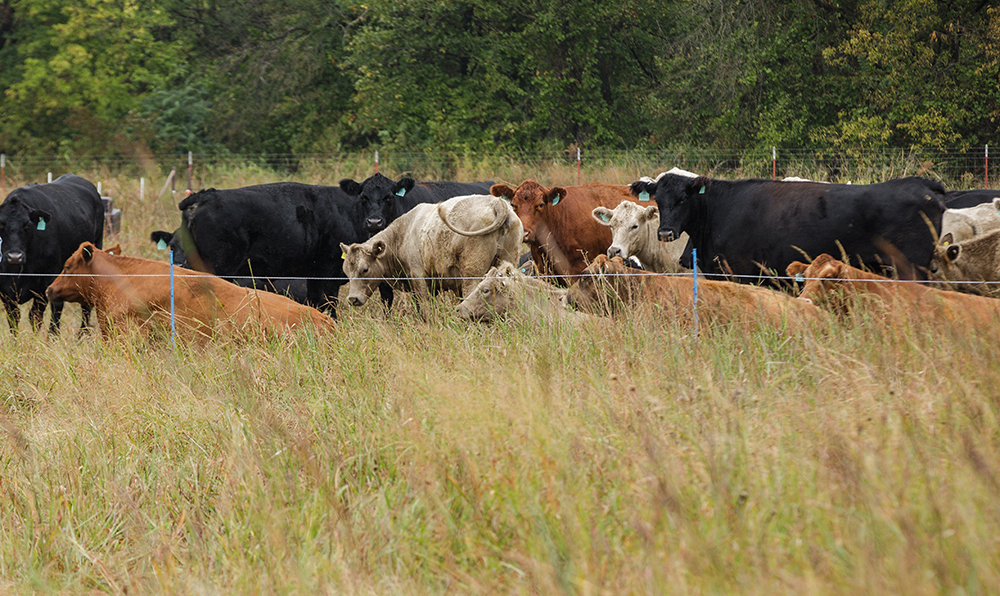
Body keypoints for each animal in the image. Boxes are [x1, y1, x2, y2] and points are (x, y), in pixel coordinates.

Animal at [0, 174, 104, 334]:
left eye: (27, 225)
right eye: (1, 224)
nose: (14, 257)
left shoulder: (44, 285)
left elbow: (35, 316)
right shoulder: (6, 291)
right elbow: (14, 319)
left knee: (80, 305)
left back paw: (80, 335)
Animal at [340, 194, 522, 307]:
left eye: (365, 269)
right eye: (347, 272)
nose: (353, 299)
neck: (403, 234)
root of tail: (495, 202)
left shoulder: (419, 278)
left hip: (472, 274)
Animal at [630, 174, 947, 282]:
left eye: (684, 199)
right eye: (658, 200)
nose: (665, 233)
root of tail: (921, 183)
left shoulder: (742, 273)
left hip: (911, 269)